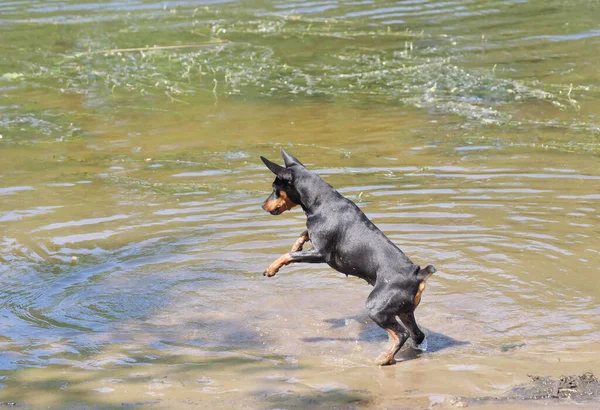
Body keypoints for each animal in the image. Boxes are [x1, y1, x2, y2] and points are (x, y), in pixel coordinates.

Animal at [260, 149, 434, 366]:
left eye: (275, 189)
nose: (263, 206)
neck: (321, 201)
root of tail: (418, 275)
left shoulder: (321, 254)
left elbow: (288, 255)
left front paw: (271, 268)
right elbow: (303, 234)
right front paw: (297, 243)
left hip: (377, 307)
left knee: (401, 334)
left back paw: (384, 358)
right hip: (404, 310)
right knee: (417, 335)